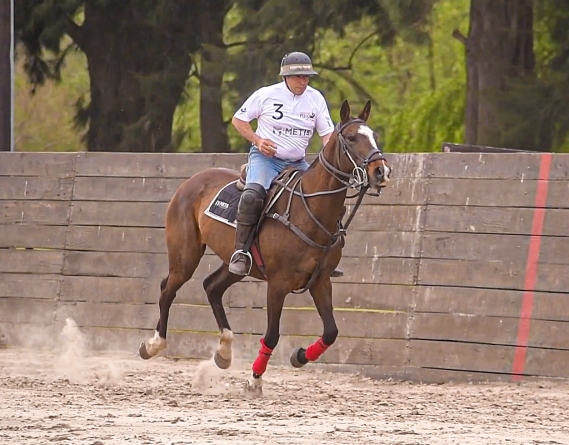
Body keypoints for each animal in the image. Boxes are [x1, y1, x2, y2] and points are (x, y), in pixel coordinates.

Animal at [140, 99, 392, 390]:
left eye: (375, 136)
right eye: (351, 138)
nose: (381, 171)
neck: (310, 209)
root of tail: (190, 182)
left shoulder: (321, 281)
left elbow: (331, 332)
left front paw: (299, 356)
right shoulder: (278, 283)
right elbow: (272, 335)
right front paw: (254, 380)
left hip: (237, 263)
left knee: (212, 286)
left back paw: (224, 352)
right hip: (185, 256)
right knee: (167, 289)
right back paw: (153, 345)